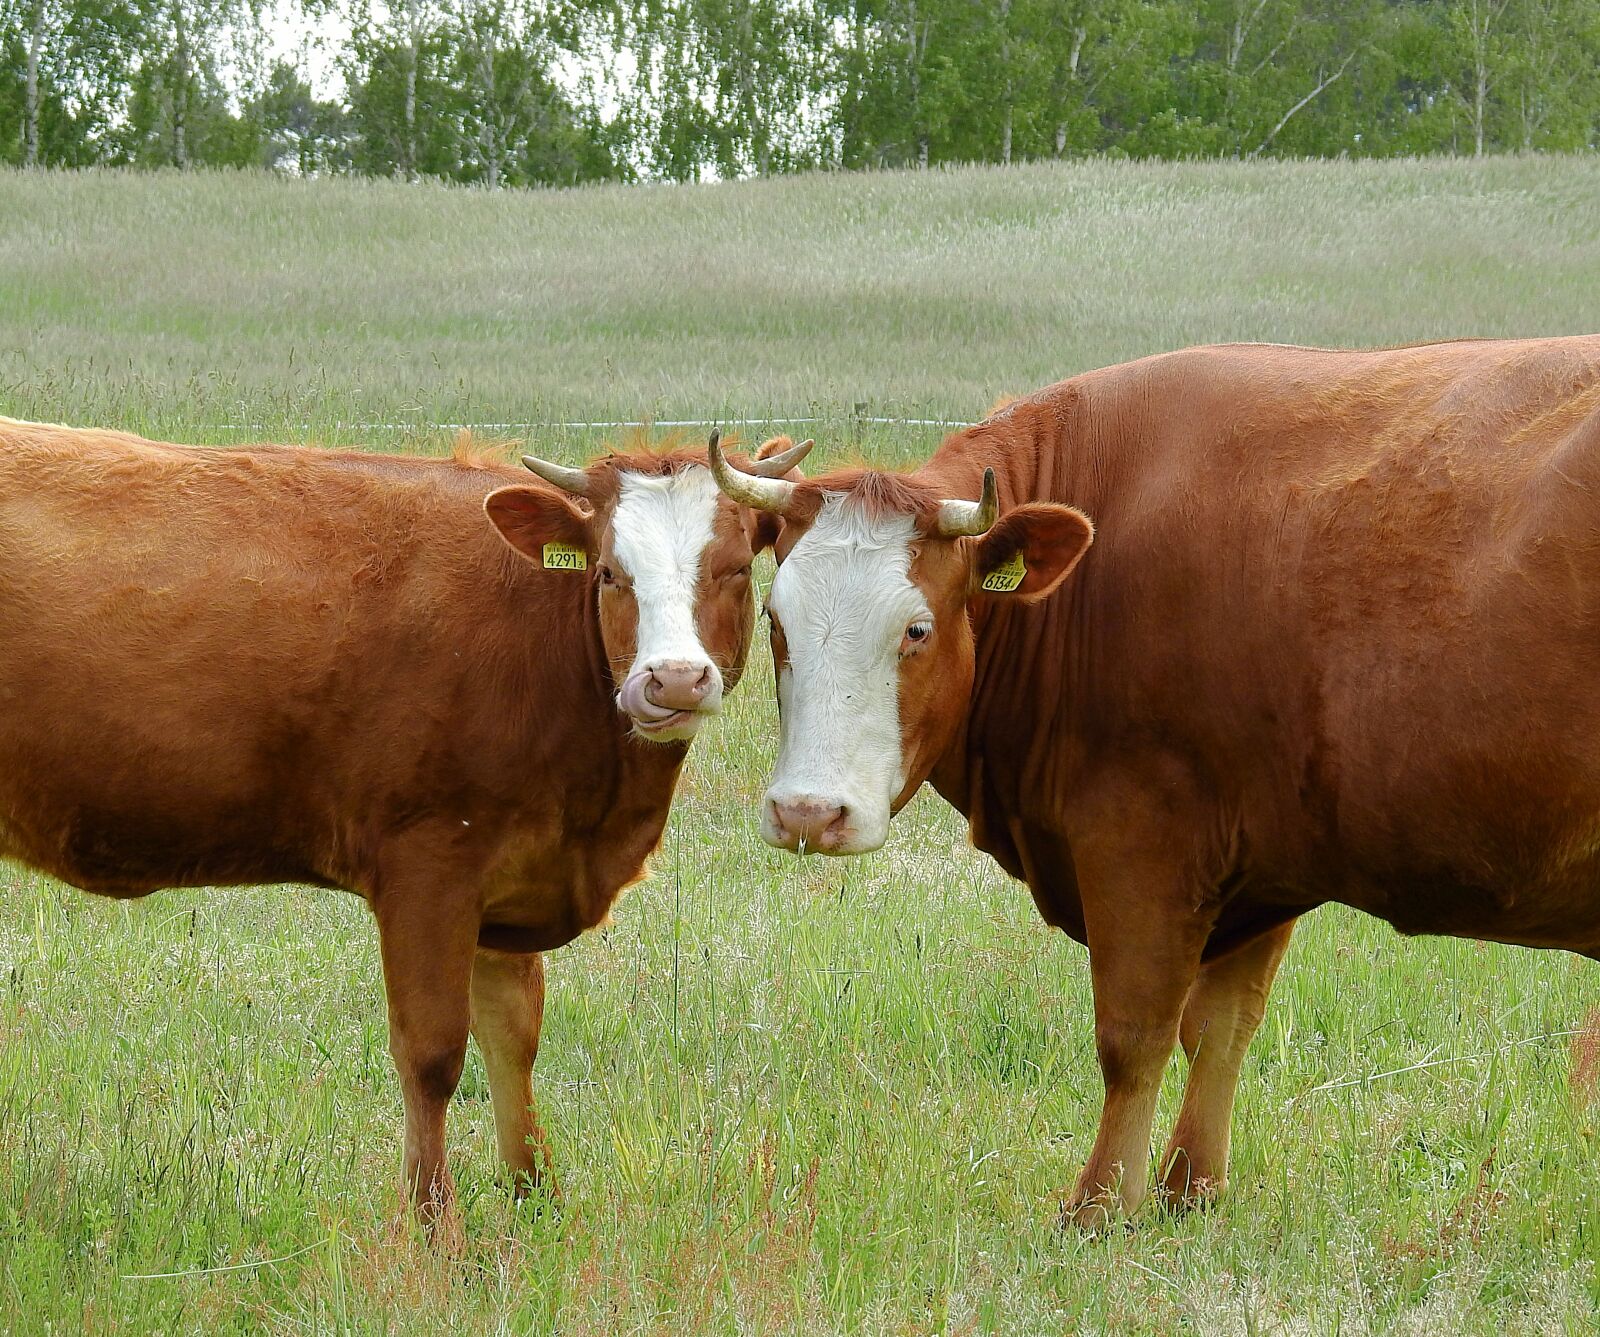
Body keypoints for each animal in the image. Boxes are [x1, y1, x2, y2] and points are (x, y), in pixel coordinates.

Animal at [0, 417, 810, 1227]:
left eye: (735, 568)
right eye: (609, 573)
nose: (673, 680)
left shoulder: (508, 876)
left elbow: (513, 1037)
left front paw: (535, 1201)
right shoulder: (430, 866)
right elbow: (432, 1055)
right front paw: (434, 1226)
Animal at [708, 336, 1600, 1228]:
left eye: (917, 628)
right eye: (774, 618)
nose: (808, 812)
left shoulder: (1139, 840)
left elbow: (1133, 1035)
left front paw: (1100, 1203)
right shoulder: (1264, 856)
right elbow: (1222, 1027)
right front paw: (1189, 1187)